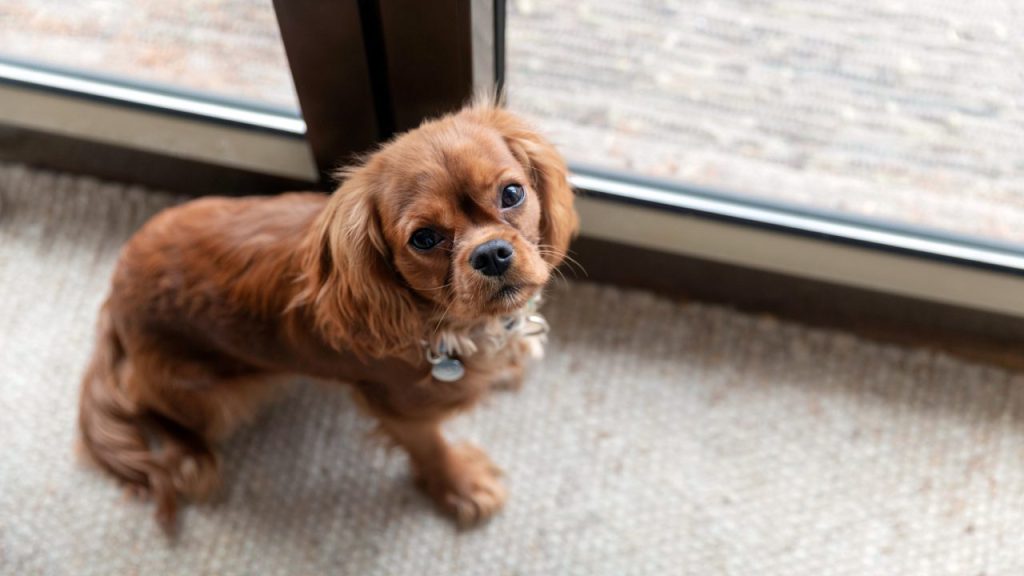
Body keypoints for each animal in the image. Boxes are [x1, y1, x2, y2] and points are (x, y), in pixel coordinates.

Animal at [77, 104, 577, 528]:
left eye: (512, 193)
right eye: (425, 238)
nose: (491, 253)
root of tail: (115, 296)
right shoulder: (397, 409)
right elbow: (430, 447)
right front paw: (461, 486)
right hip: (216, 397)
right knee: (141, 399)